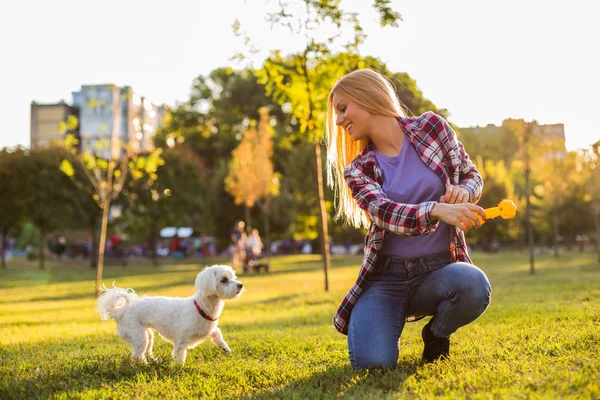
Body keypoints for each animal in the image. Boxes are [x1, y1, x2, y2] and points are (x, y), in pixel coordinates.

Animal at [95, 264, 243, 364]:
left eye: (234, 277)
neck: (201, 308)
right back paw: (144, 365)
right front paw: (179, 369)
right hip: (138, 335)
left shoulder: (209, 329)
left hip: (147, 335)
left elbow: (217, 333)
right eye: (224, 279)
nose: (240, 285)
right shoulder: (181, 341)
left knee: (145, 350)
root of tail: (122, 311)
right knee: (137, 355)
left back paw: (154, 361)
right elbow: (179, 356)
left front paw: (225, 348)